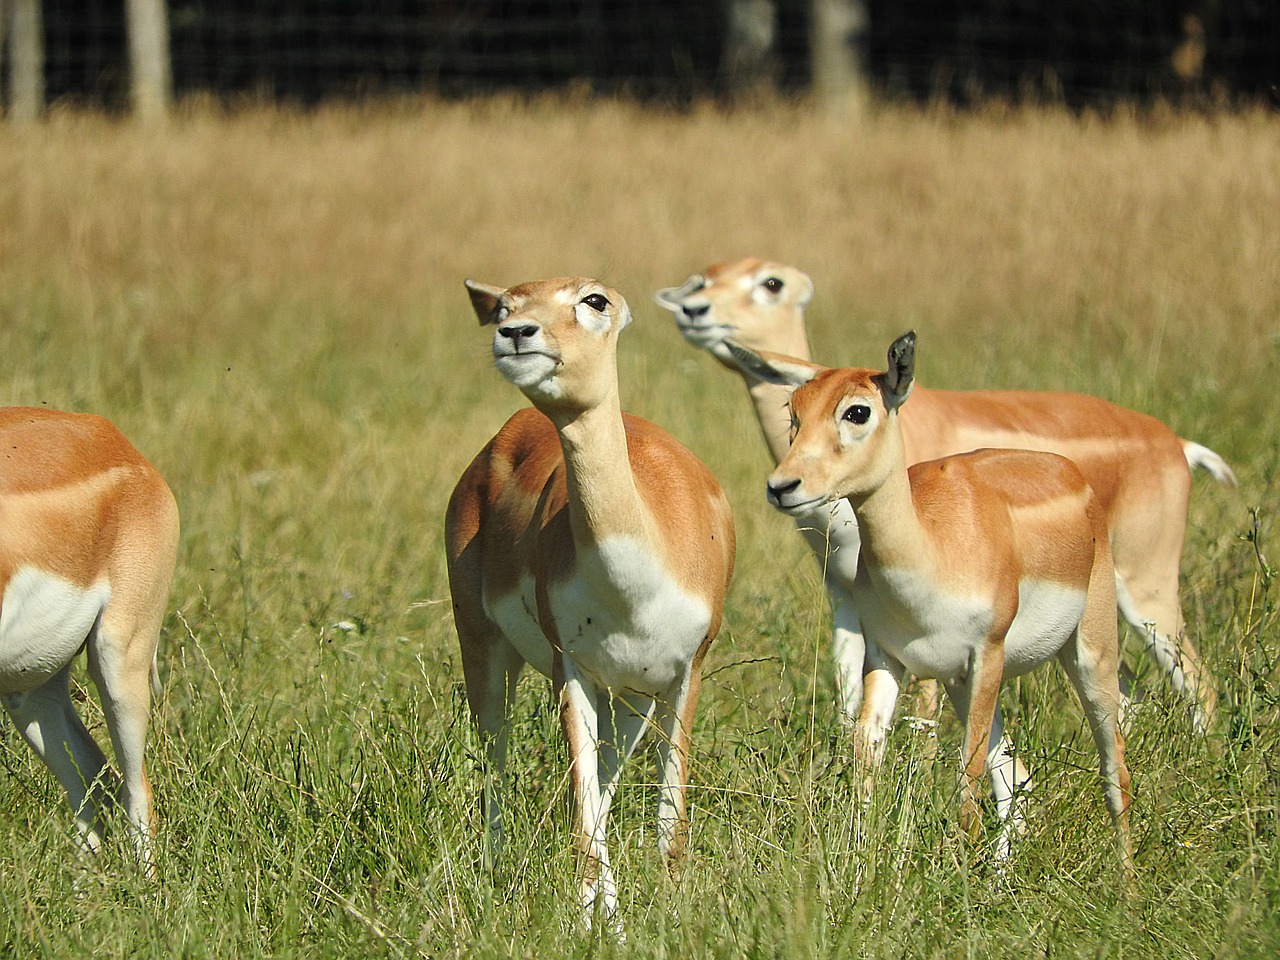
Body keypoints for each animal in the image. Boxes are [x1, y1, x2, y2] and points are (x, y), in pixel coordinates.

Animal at [445, 277, 737, 931]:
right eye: (505, 306)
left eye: (593, 300)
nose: (517, 333)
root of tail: (506, 433)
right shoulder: (569, 668)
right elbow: (584, 815)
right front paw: (596, 926)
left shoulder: (684, 673)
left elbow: (667, 823)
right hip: (486, 647)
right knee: (495, 763)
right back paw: (497, 878)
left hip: (628, 697)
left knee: (603, 779)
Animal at [655, 259, 1233, 757]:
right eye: (704, 277)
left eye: (770, 282)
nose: (694, 310)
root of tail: (1174, 443)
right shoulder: (842, 588)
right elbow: (851, 692)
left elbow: (927, 704)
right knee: (1132, 695)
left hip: (1146, 592)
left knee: (1200, 684)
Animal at [737, 337, 1136, 870]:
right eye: (793, 412)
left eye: (857, 411)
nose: (783, 486)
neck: (933, 547)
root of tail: (1071, 473)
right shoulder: (889, 657)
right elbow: (867, 754)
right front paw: (860, 866)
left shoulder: (987, 655)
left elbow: (966, 778)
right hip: (959, 683)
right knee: (1015, 773)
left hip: (1087, 654)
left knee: (1115, 771)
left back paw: (1127, 882)